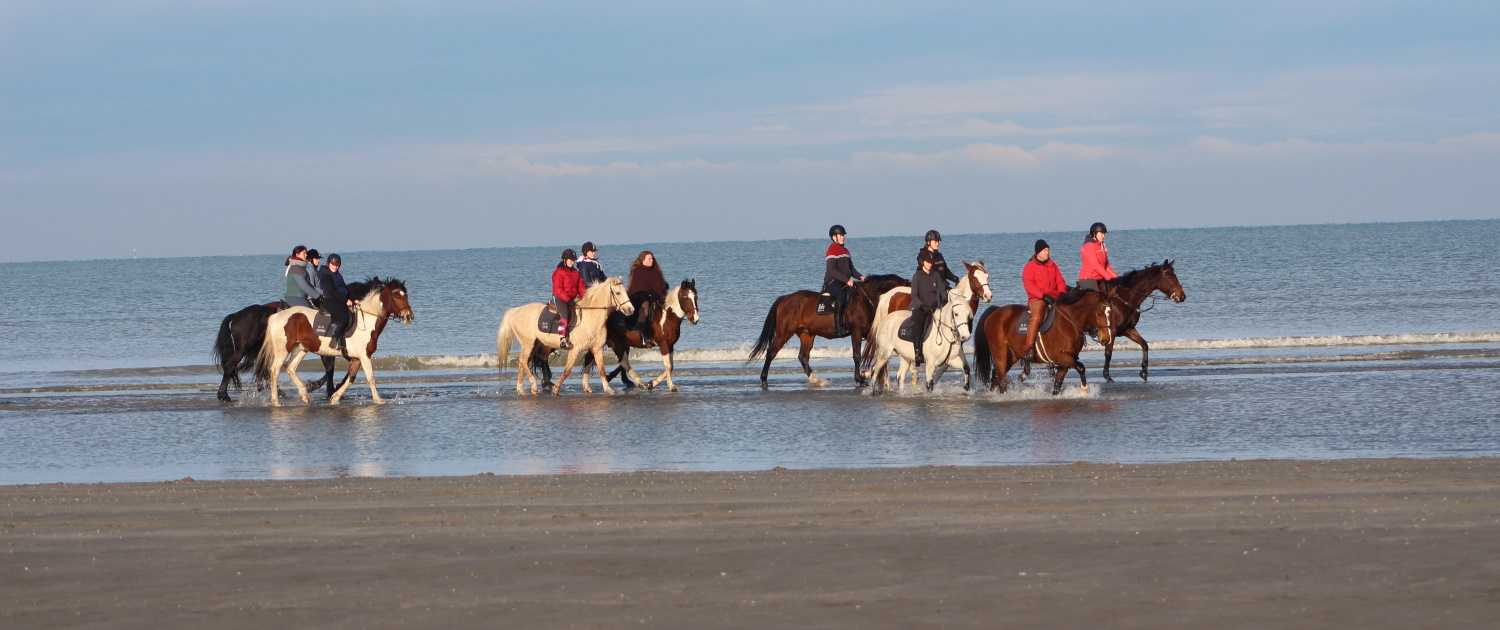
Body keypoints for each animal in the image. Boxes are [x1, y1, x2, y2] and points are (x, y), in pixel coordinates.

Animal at [253, 277, 414, 405]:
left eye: (405, 295)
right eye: (396, 296)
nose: (409, 316)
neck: (367, 321)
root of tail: (275, 316)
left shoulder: (356, 358)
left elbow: (351, 378)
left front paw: (335, 397)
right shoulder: (364, 356)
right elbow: (370, 378)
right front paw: (378, 400)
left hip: (301, 349)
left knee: (290, 368)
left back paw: (305, 395)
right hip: (283, 349)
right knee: (274, 371)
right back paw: (276, 401)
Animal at [495, 277, 630, 396]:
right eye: (618, 293)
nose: (630, 309)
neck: (590, 317)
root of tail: (515, 311)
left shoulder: (597, 348)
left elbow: (601, 368)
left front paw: (608, 390)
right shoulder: (575, 350)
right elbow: (567, 370)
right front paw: (556, 389)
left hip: (535, 345)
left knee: (523, 362)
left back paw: (521, 389)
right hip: (528, 343)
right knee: (523, 360)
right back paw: (533, 385)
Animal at [744, 276, 906, 390]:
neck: (865, 300)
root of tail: (784, 299)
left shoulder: (868, 334)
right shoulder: (857, 332)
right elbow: (857, 355)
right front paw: (860, 379)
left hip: (807, 334)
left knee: (803, 357)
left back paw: (817, 380)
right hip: (784, 333)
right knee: (771, 352)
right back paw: (764, 379)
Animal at [864, 259, 990, 390]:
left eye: (987, 276)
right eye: (975, 278)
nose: (988, 295)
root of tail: (886, 296)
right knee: (883, 363)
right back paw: (888, 384)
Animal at [966, 289, 1122, 393]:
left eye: (1111, 313)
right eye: (1100, 313)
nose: (1107, 338)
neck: (1069, 321)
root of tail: (995, 312)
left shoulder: (1066, 361)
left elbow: (1058, 383)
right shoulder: (1063, 357)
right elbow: (1081, 367)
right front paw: (1084, 388)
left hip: (1012, 356)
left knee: (996, 376)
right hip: (1000, 355)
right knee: (1001, 377)